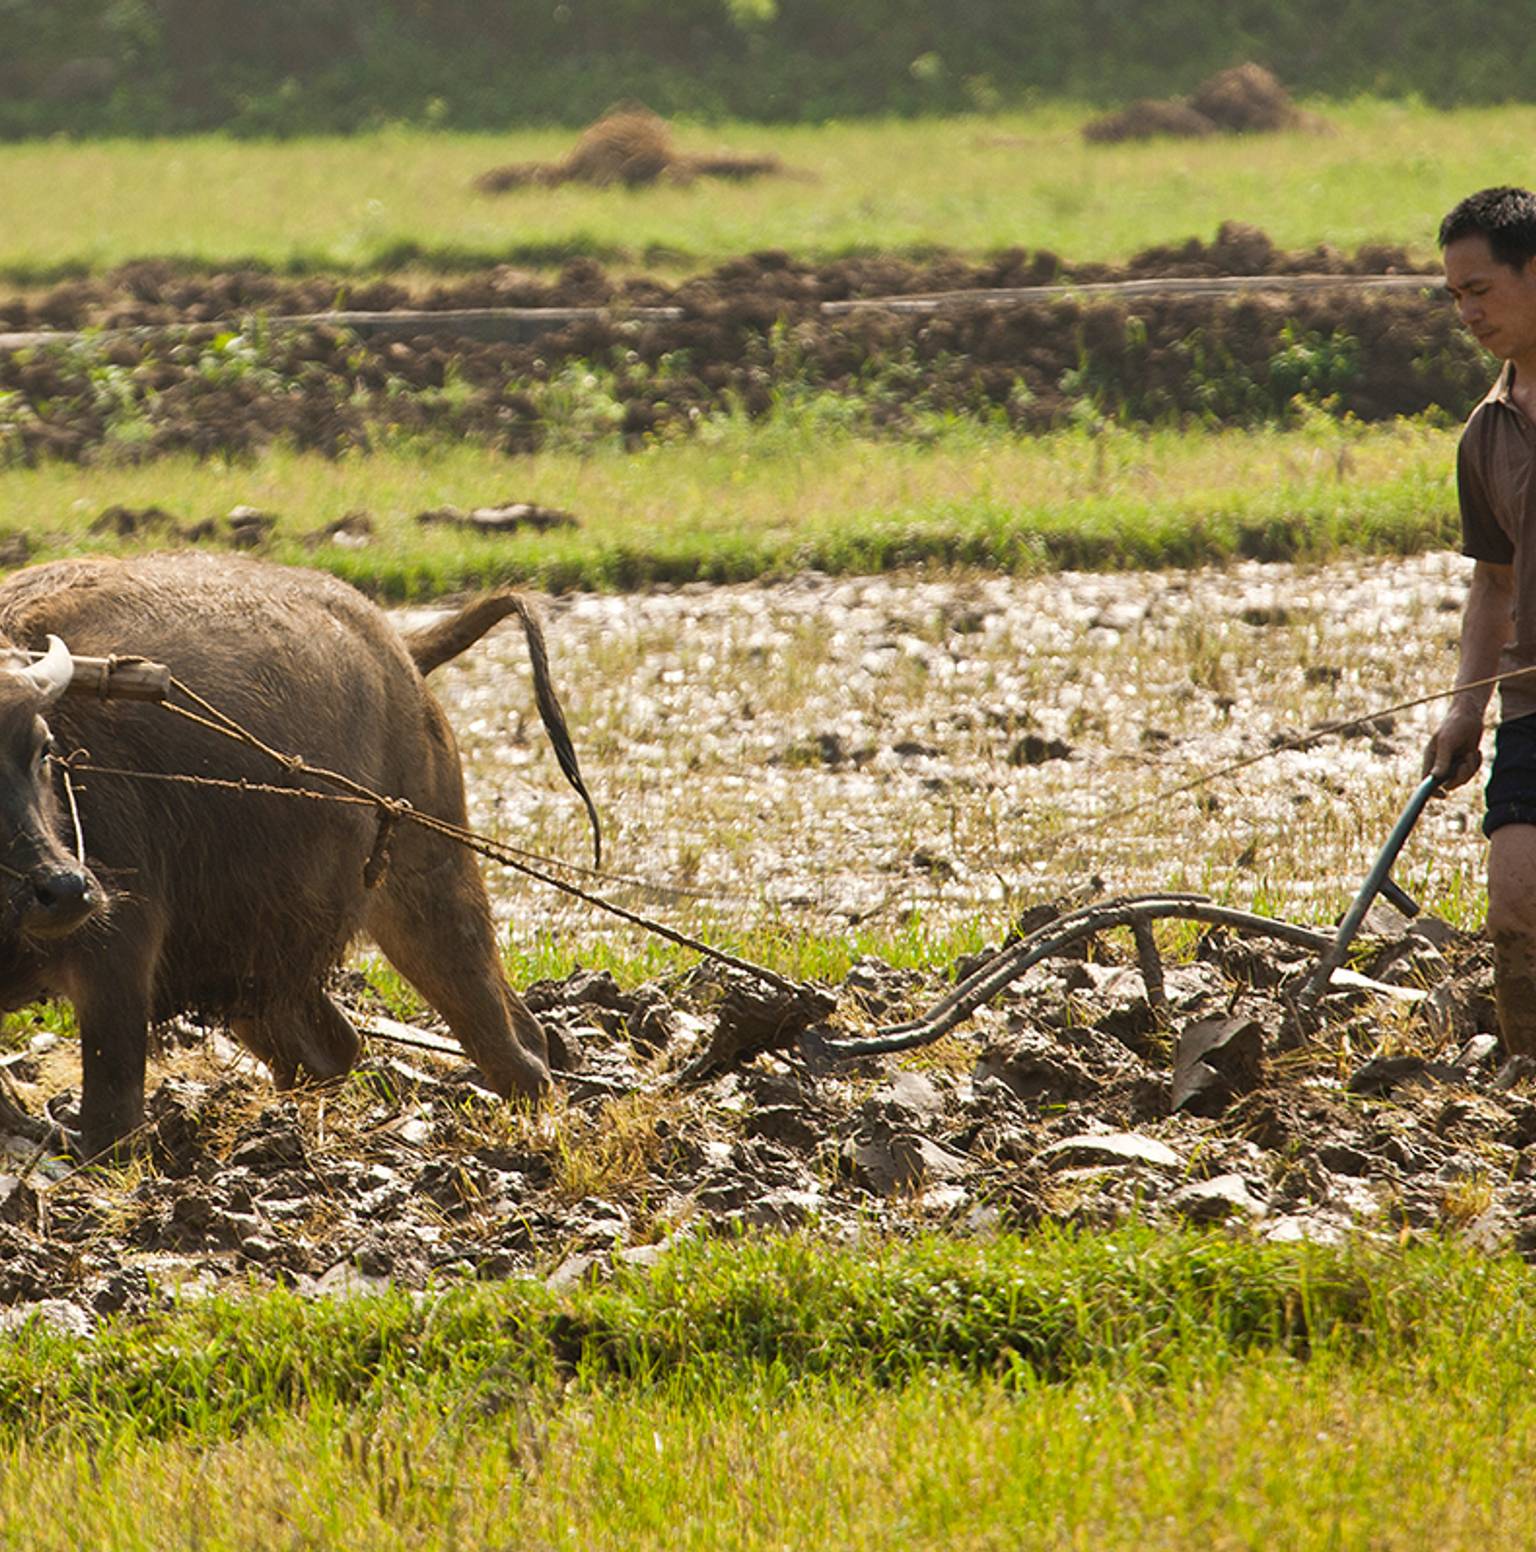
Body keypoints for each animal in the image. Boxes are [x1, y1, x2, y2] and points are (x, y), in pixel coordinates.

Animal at [0, 552, 598, 1160]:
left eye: (44, 748)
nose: (65, 891)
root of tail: (402, 651)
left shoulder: (121, 954)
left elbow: (111, 1121)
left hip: (430, 876)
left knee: (511, 1041)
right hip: (256, 952)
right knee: (332, 1048)